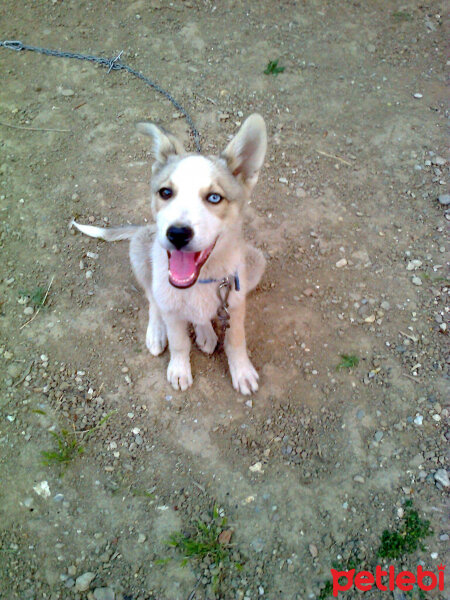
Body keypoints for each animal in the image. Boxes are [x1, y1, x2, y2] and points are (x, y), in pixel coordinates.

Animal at [72, 113, 266, 396]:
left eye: (214, 197)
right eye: (166, 192)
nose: (177, 233)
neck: (201, 281)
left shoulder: (235, 304)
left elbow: (236, 340)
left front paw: (242, 371)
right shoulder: (172, 311)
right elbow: (179, 343)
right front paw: (179, 370)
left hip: (256, 261)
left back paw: (205, 332)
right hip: (140, 252)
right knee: (153, 300)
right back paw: (157, 332)